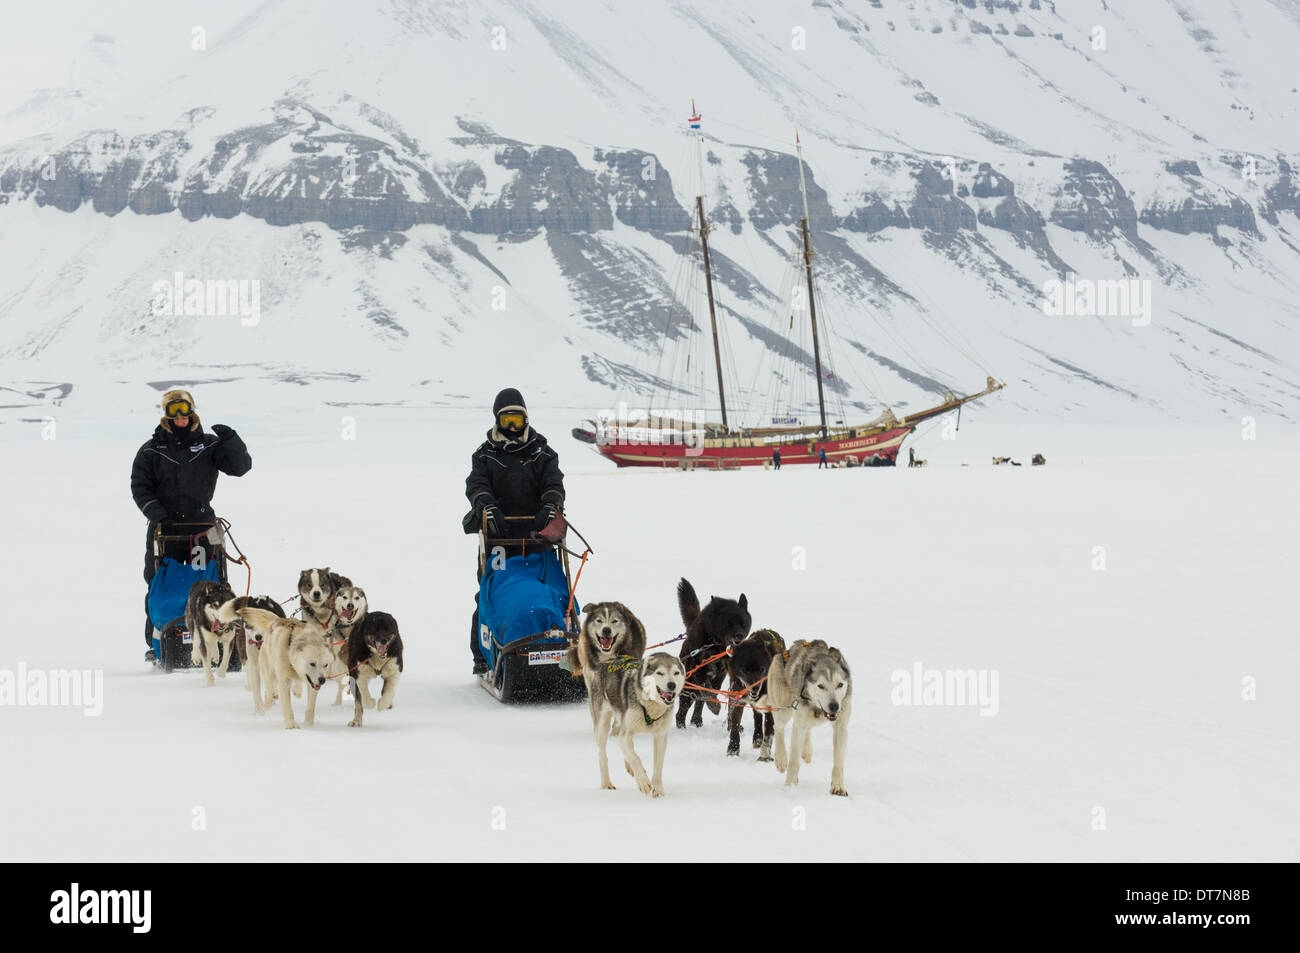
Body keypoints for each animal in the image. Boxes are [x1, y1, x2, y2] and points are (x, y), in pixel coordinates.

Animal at [590, 647, 686, 795]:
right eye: (660, 673)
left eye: (676, 672)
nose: (672, 685)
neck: (650, 704)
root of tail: (606, 661)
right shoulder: (626, 733)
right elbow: (635, 758)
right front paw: (644, 782)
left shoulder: (660, 737)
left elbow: (657, 766)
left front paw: (658, 790)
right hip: (602, 725)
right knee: (603, 755)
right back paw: (606, 783)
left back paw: (629, 767)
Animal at [670, 579, 754, 728]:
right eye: (728, 624)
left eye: (743, 623)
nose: (739, 636)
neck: (717, 644)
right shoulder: (698, 668)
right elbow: (707, 691)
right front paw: (715, 707)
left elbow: (730, 699)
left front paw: (733, 725)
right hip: (689, 686)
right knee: (682, 711)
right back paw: (682, 727)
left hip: (715, 681)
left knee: (699, 703)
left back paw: (697, 720)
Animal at [728, 629, 785, 764]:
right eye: (744, 670)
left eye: (762, 669)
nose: (755, 688)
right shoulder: (737, 701)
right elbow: (735, 726)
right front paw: (733, 750)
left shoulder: (771, 707)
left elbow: (769, 733)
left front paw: (764, 756)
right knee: (757, 715)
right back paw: (758, 737)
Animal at [764, 639, 847, 795]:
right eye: (821, 686)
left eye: (840, 685)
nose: (834, 706)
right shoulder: (798, 725)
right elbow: (794, 762)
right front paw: (789, 786)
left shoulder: (841, 726)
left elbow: (839, 762)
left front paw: (838, 787)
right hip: (784, 711)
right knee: (778, 727)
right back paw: (781, 758)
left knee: (808, 729)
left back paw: (807, 751)